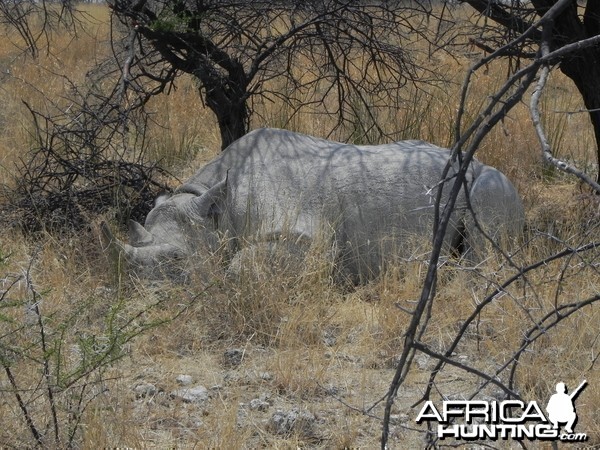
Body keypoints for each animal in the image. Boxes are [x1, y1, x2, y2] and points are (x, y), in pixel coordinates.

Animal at [103, 126, 524, 282]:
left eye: (178, 260)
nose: (145, 290)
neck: (216, 208)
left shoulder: (304, 237)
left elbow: (239, 266)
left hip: (489, 179)